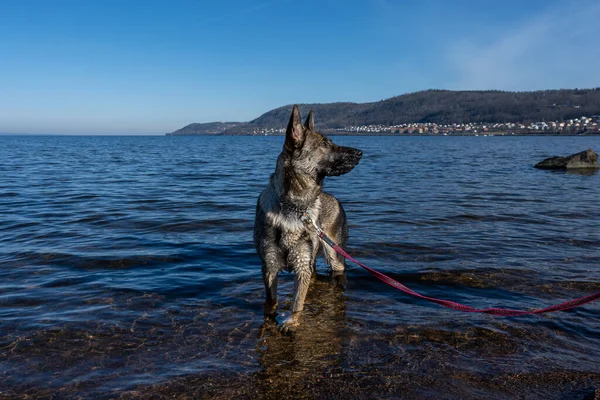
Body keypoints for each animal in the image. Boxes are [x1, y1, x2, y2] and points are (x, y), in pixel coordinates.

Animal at [253, 104, 360, 332]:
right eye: (325, 144)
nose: (360, 153)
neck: (294, 207)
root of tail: (335, 199)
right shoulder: (269, 266)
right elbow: (271, 301)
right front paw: (269, 320)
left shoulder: (301, 267)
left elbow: (297, 302)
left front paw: (292, 321)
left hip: (334, 254)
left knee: (338, 270)